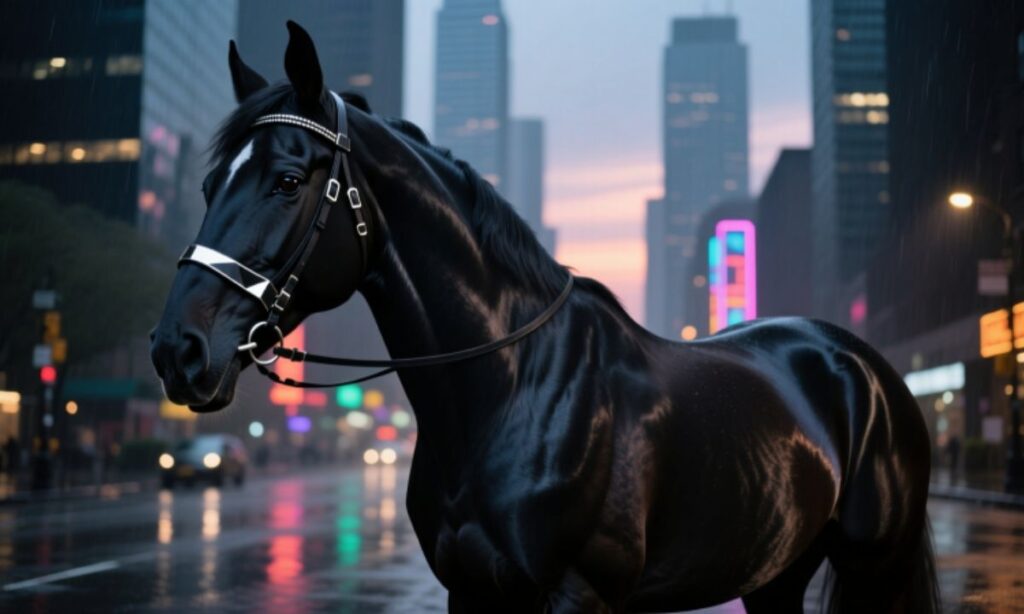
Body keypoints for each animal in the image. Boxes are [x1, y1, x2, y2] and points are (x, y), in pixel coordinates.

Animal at [150, 22, 940, 614]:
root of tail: (857, 363)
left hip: (877, 565)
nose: (177, 348)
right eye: (208, 183)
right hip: (776, 571)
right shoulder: (471, 593)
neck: (510, 389)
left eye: (287, 181)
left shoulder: (578, 593)